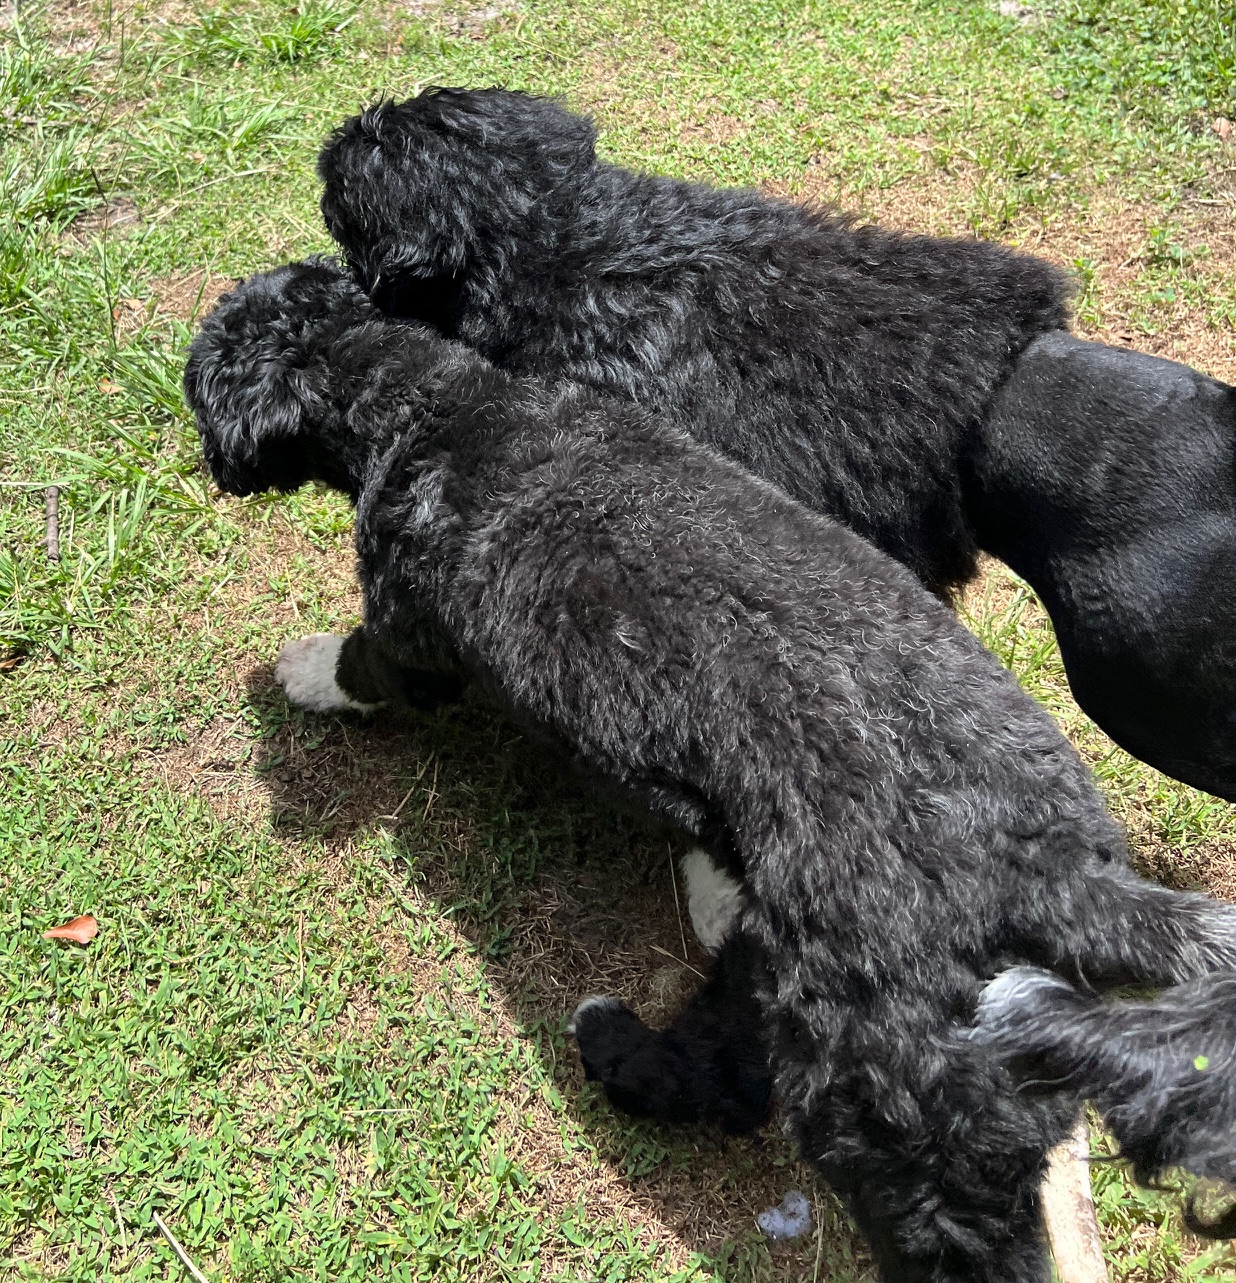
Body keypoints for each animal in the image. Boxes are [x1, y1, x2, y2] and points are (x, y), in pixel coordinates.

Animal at [183, 257, 1236, 1283]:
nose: (204, 458)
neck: (432, 402)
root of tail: (1061, 878)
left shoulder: (408, 634)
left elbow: (363, 664)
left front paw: (303, 670)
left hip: (867, 1081)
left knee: (769, 1113)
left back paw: (610, 1041)